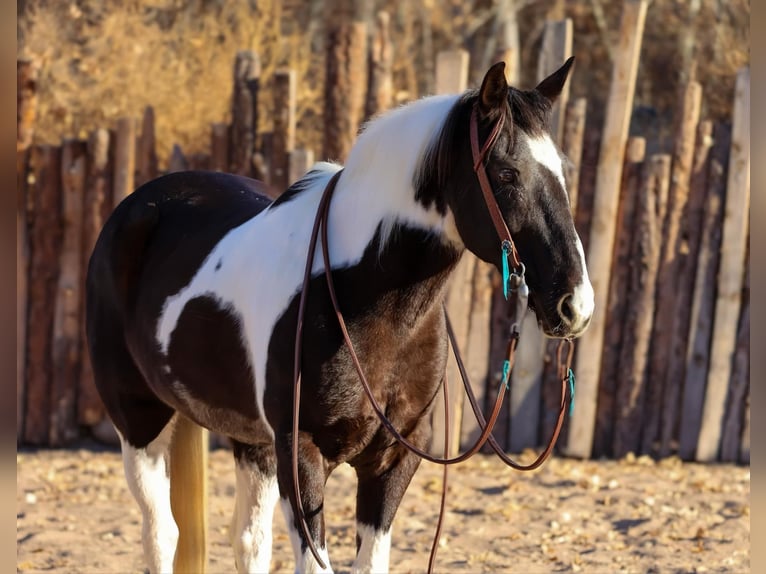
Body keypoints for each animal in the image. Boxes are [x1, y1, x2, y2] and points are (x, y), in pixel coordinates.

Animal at [85, 58, 594, 574]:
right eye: (507, 174)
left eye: (563, 172)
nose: (575, 305)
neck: (366, 296)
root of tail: (139, 207)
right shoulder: (302, 455)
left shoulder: (392, 459)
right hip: (140, 420)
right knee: (161, 533)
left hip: (253, 442)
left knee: (248, 540)